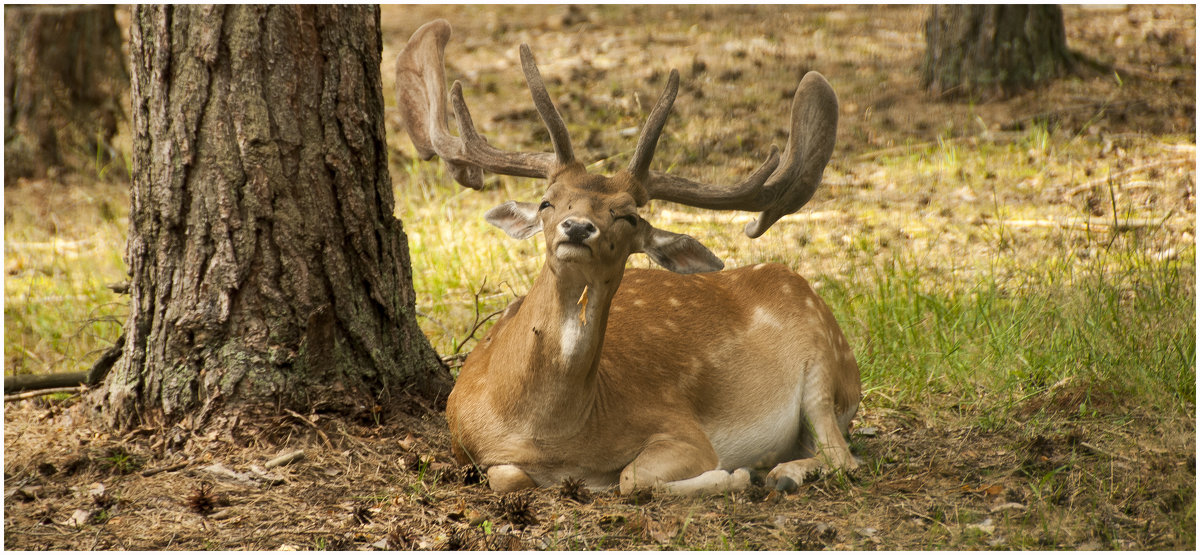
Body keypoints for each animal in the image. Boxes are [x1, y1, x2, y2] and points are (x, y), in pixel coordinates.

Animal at [398, 19, 859, 494]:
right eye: (547, 201)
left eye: (629, 216)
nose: (578, 227)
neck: (543, 432)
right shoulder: (465, 440)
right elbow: (508, 476)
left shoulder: (683, 429)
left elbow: (631, 479)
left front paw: (736, 473)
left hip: (823, 364)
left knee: (843, 455)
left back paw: (780, 474)